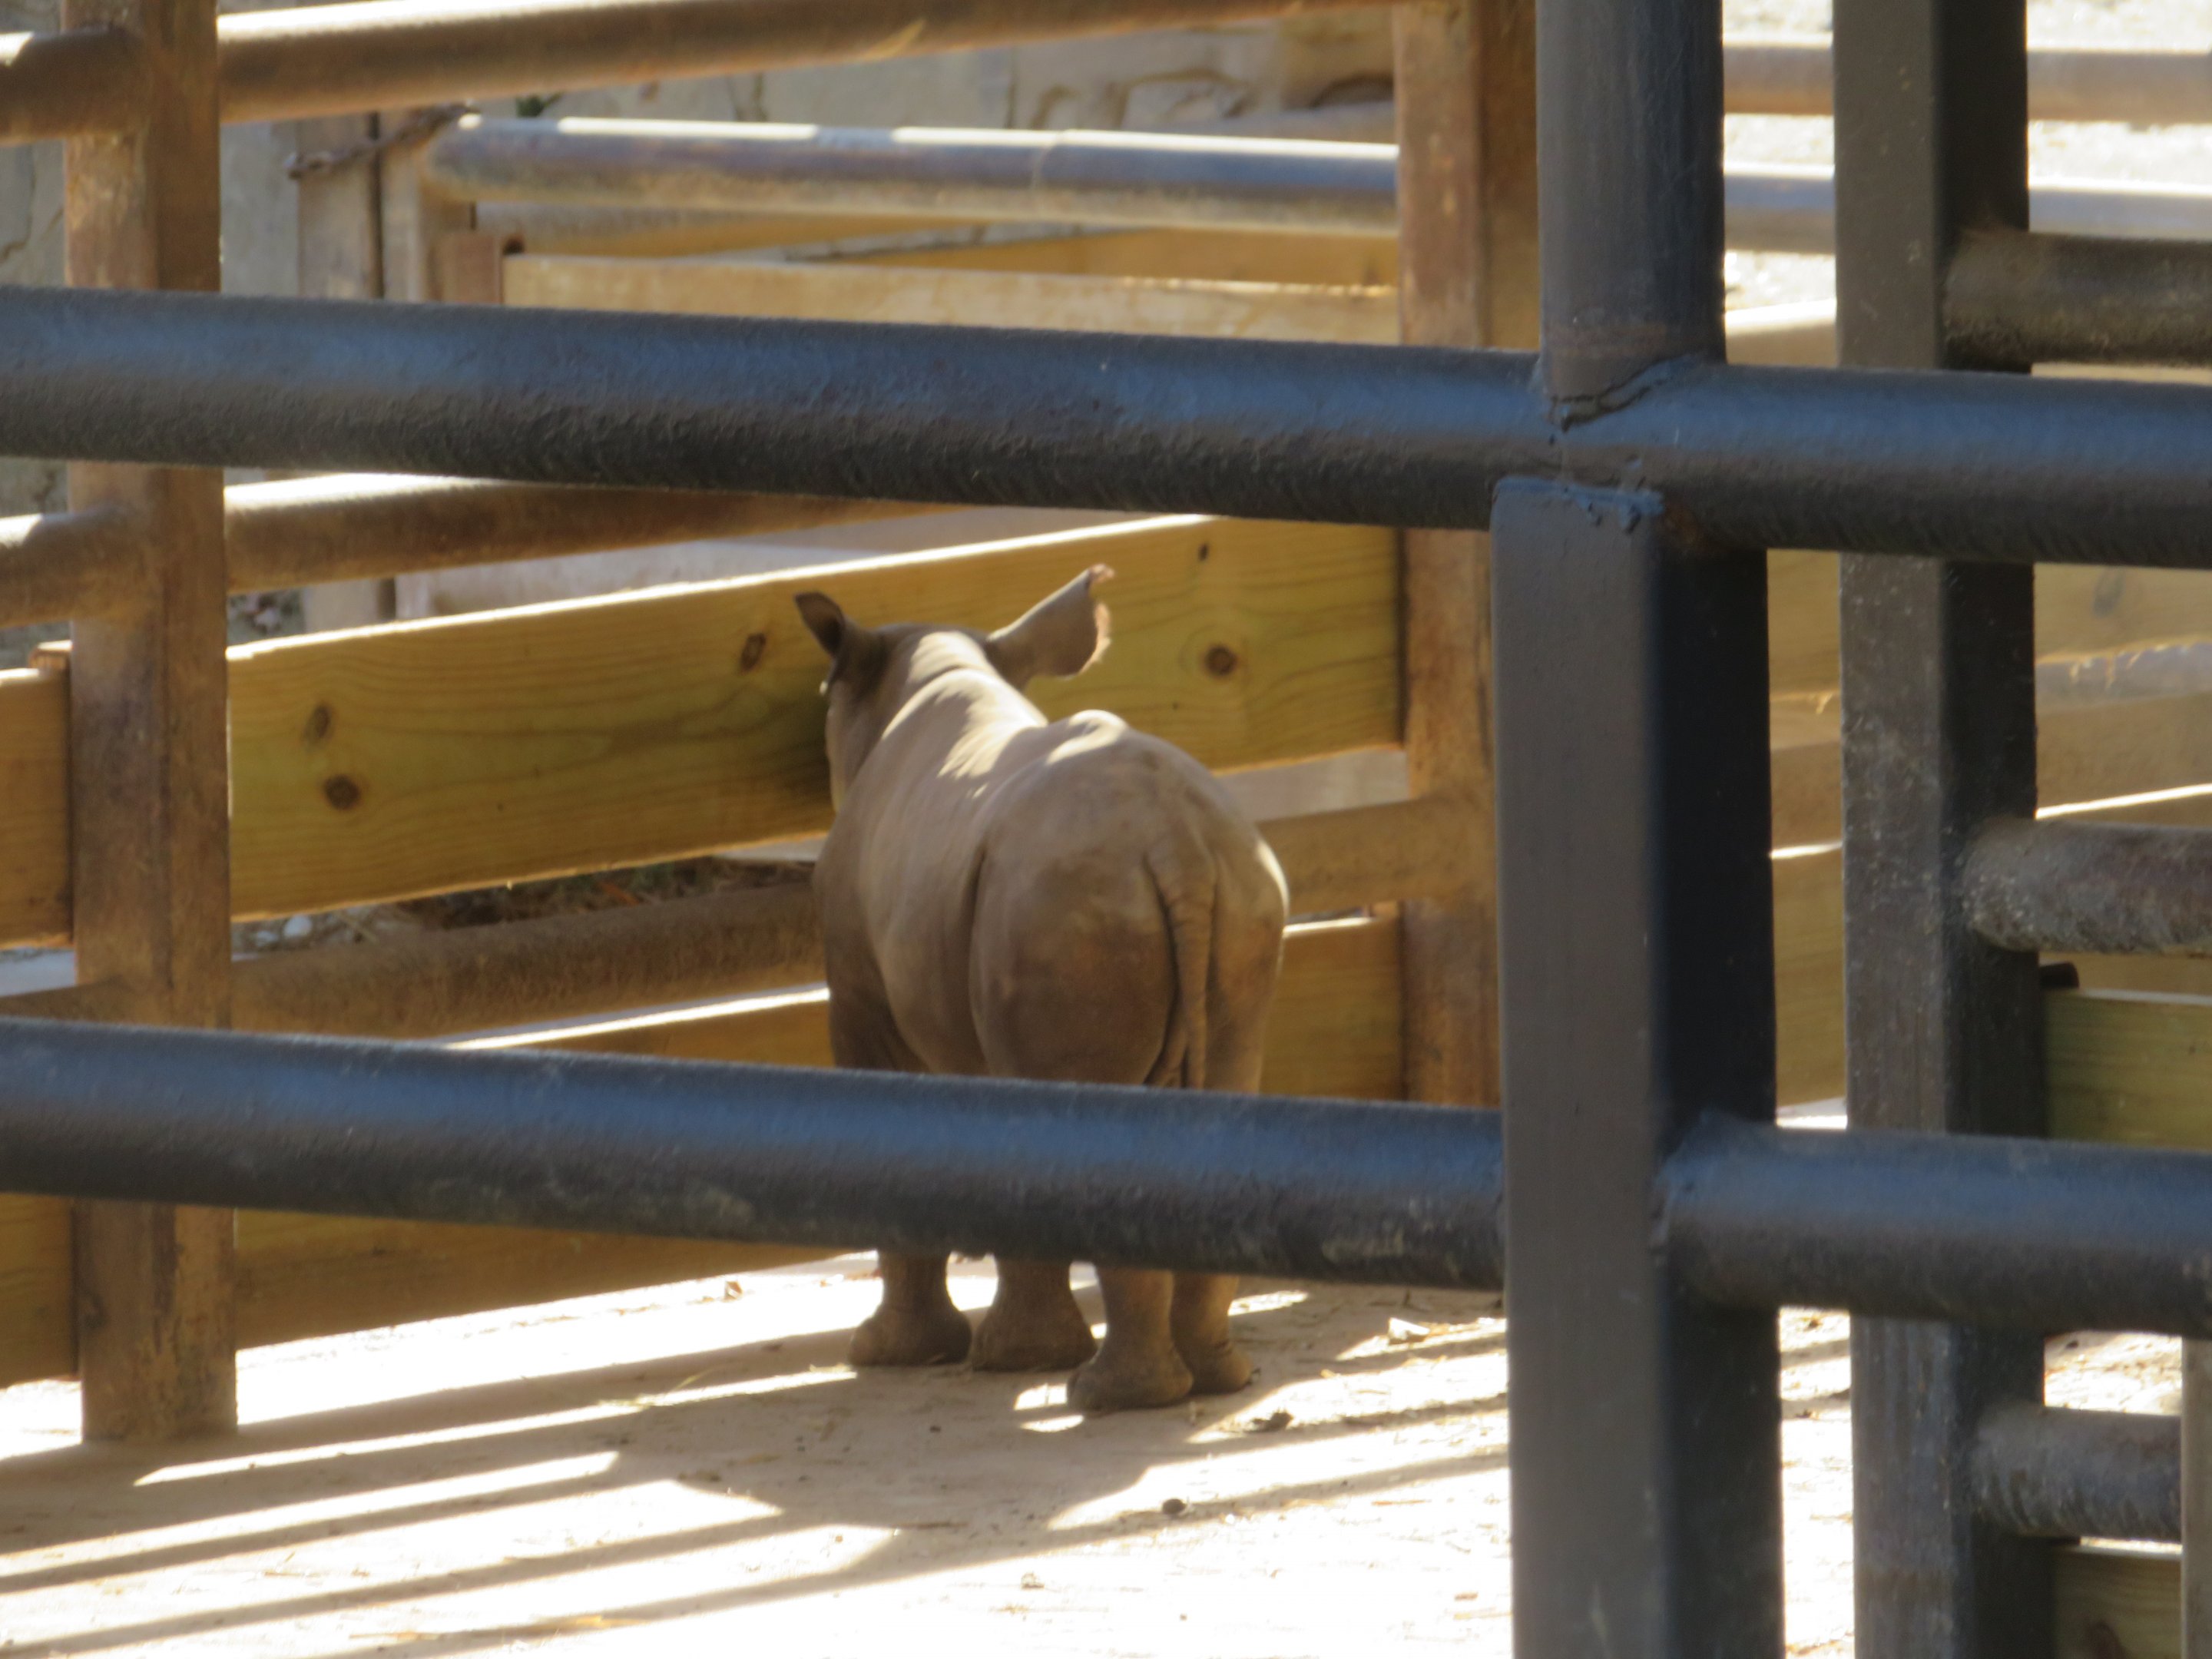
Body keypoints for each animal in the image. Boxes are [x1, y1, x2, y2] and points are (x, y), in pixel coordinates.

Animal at [795, 564, 1289, 1413]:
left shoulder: (859, 990)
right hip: (1238, 891)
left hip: (1060, 907)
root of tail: (1178, 846)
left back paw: (1094, 1391)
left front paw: (900, 1356)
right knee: (1225, 1080)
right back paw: (1210, 1379)